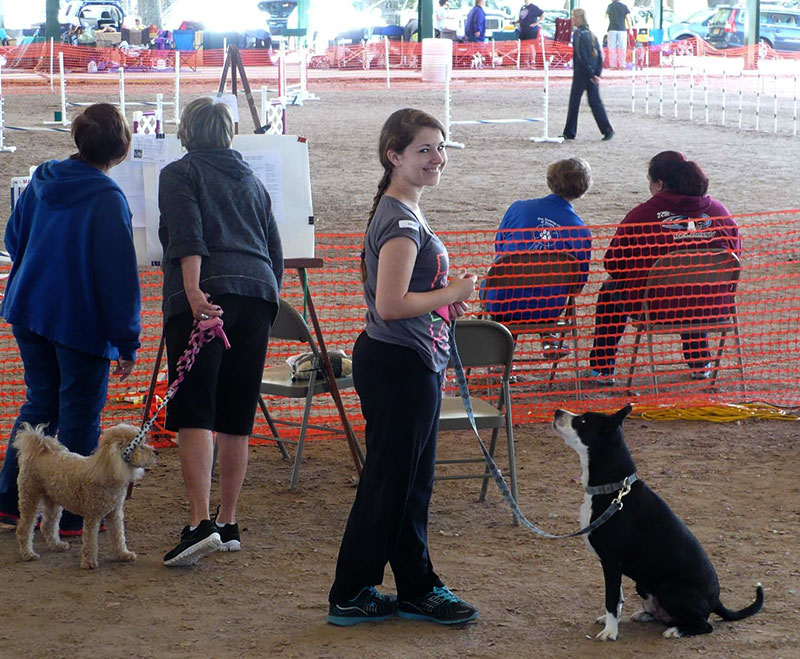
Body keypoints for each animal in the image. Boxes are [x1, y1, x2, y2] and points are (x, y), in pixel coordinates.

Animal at [14, 426, 156, 568]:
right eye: (140, 446)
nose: (156, 452)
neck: (107, 470)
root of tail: (40, 452)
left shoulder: (114, 514)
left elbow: (118, 536)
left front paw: (123, 554)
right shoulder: (93, 516)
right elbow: (90, 540)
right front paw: (89, 562)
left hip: (53, 500)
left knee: (48, 525)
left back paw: (57, 545)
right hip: (30, 497)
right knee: (24, 529)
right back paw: (28, 554)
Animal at [552, 404, 764, 640]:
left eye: (583, 421)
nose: (557, 411)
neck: (615, 490)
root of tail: (716, 600)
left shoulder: (611, 561)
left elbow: (611, 598)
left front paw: (610, 631)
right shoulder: (611, 564)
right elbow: (618, 597)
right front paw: (611, 623)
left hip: (669, 590)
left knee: (704, 625)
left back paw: (676, 630)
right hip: (643, 586)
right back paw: (647, 615)